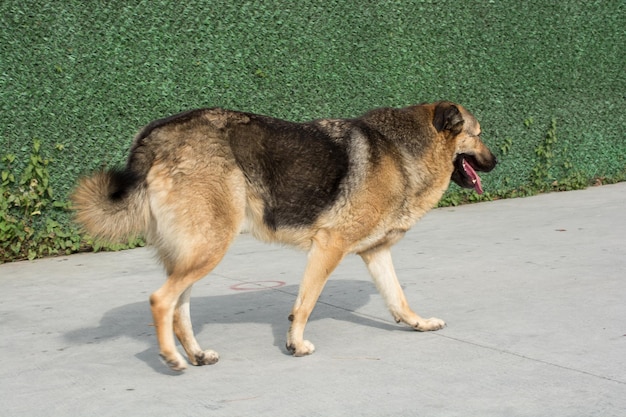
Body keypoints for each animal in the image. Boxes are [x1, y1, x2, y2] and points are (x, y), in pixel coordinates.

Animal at [70, 101, 494, 370]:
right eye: (478, 134)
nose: (496, 161)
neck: (403, 149)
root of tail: (155, 136)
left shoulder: (375, 254)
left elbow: (399, 300)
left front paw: (419, 323)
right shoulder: (328, 246)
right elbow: (304, 303)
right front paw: (295, 344)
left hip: (197, 252)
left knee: (179, 307)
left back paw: (197, 354)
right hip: (210, 247)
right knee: (161, 300)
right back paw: (173, 358)